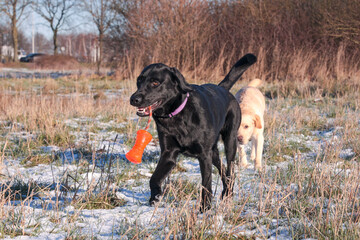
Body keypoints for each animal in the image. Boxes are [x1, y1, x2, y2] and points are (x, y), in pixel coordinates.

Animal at [129, 54, 256, 210]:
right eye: (139, 80)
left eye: (155, 82)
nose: (133, 99)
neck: (177, 115)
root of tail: (223, 89)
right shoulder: (169, 154)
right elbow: (154, 178)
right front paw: (155, 197)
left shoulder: (204, 155)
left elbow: (206, 184)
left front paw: (205, 209)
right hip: (213, 151)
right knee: (222, 168)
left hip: (230, 141)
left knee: (230, 170)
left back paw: (228, 194)